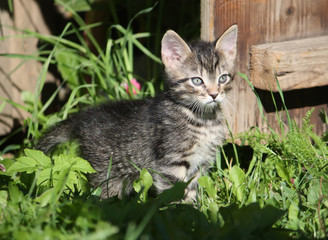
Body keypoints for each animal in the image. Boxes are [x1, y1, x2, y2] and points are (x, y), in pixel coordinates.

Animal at [36, 24, 238, 201]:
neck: (203, 118)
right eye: (197, 80)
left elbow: (190, 192)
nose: (214, 94)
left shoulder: (200, 165)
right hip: (106, 174)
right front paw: (179, 213)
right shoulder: (170, 163)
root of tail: (84, 116)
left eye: (223, 78)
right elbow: (174, 193)